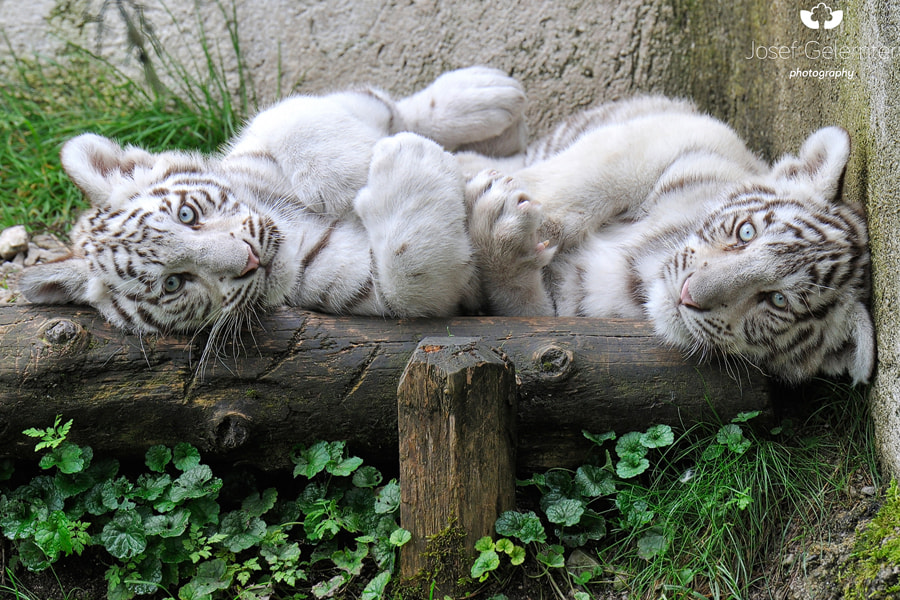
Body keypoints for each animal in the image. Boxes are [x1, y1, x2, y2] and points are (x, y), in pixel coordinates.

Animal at [18, 66, 528, 366]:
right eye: (173, 283)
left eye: (187, 214)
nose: (248, 260)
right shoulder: (382, 295)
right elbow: (413, 277)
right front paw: (406, 158)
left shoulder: (268, 135)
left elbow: (298, 116)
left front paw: (353, 172)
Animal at [460, 96, 874, 385]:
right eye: (746, 232)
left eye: (778, 301)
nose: (689, 294)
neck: (644, 266)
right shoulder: (680, 137)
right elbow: (578, 185)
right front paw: (500, 208)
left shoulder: (567, 308)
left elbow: (523, 307)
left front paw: (500, 228)